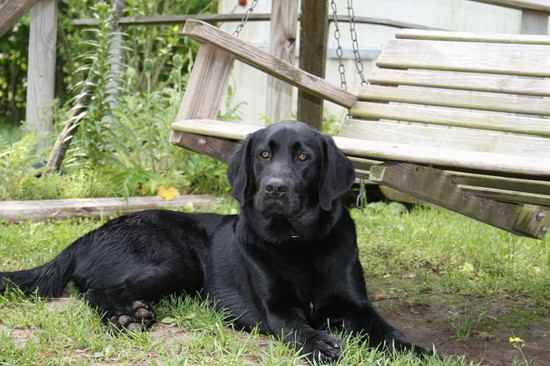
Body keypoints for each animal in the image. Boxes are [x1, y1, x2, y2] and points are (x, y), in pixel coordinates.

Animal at [0, 121, 426, 362]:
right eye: (264, 155)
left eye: (303, 157)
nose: (274, 188)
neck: (298, 243)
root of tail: (87, 235)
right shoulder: (277, 310)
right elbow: (300, 330)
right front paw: (321, 345)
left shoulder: (356, 306)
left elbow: (388, 331)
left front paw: (416, 350)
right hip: (178, 260)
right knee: (94, 292)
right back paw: (125, 317)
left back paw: (134, 311)